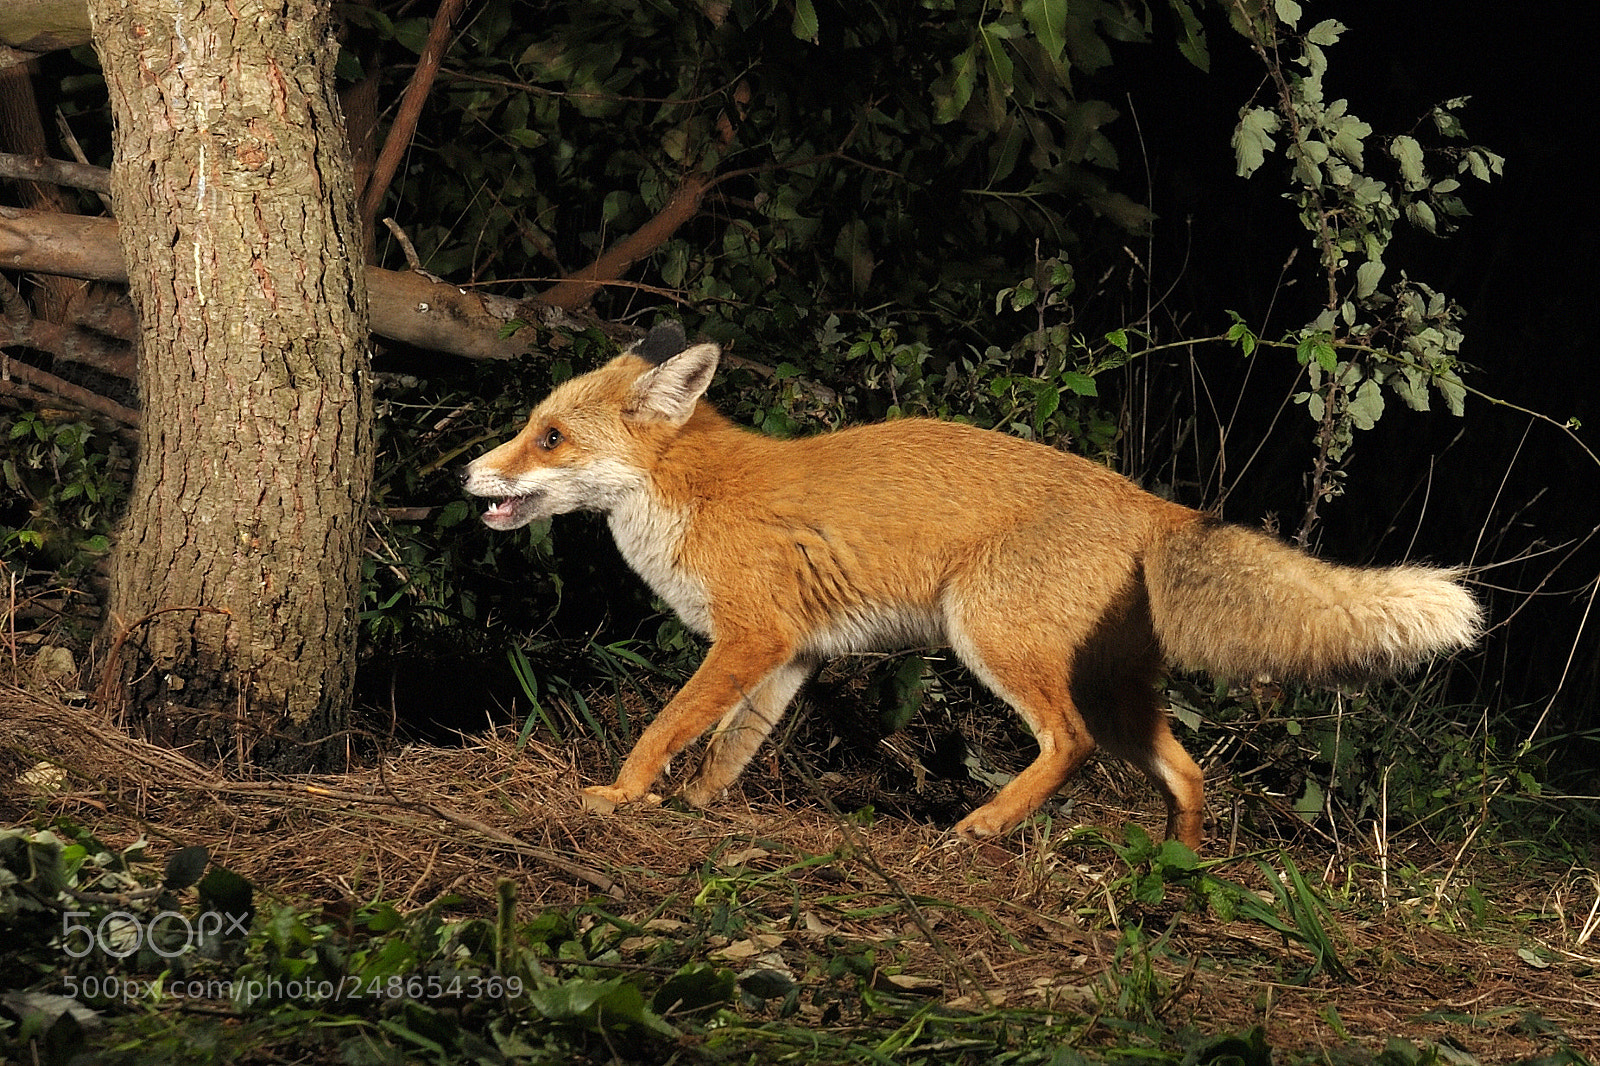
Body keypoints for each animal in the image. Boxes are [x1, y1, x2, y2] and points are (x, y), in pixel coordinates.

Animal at [462, 321, 1481, 848]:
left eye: (549, 438)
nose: (471, 474)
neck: (693, 497)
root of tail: (1150, 501)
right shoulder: (791, 652)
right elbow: (729, 747)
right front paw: (694, 810)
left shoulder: (749, 636)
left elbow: (668, 726)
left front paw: (620, 796)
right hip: (1116, 691)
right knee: (1189, 774)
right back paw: (1177, 875)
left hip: (990, 640)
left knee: (1068, 746)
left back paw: (984, 826)